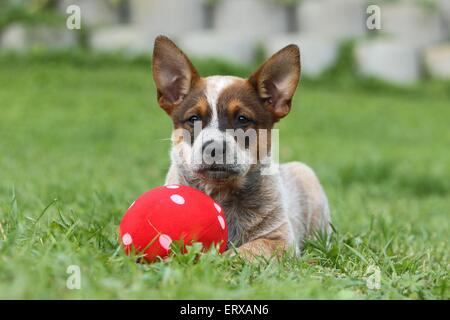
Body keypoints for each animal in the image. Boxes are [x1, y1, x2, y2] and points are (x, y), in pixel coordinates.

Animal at [151, 35, 330, 260]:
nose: (214, 148)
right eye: (194, 118)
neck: (222, 193)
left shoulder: (280, 240)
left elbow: (246, 250)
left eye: (242, 119)